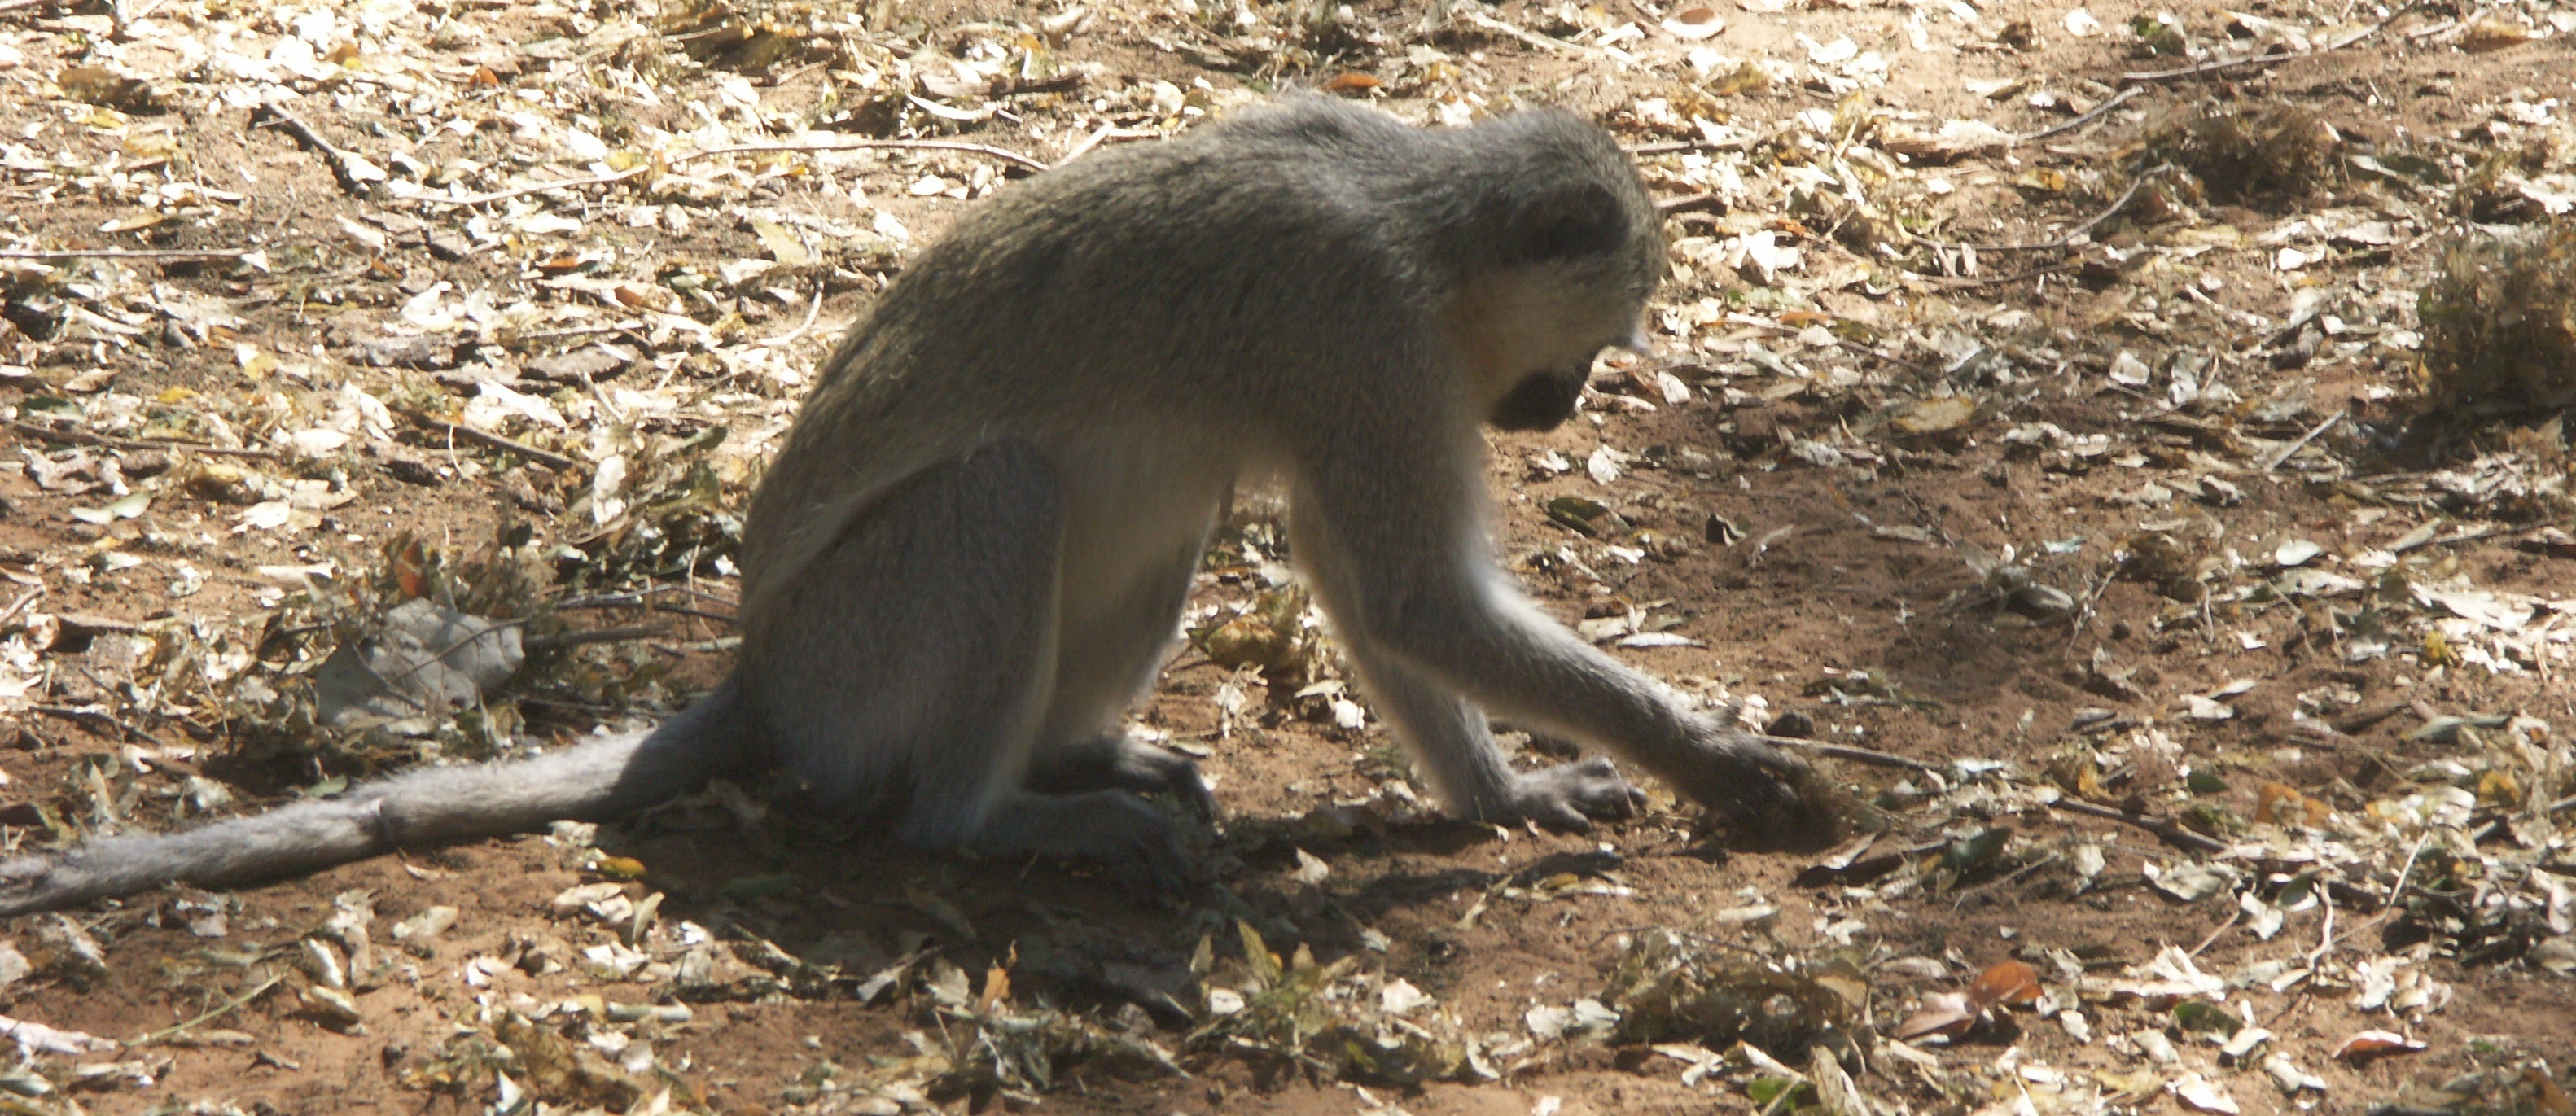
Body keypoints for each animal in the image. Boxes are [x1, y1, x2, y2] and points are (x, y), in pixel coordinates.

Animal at [0, 95, 1833, 912]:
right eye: (1593, 344)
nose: (1562, 404)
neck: (1419, 211)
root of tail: (758, 674)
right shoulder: (1364, 344)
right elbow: (1406, 596)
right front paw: (1716, 763)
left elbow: (1371, 594)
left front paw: (1506, 790)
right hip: (854, 657)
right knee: (1005, 500)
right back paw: (998, 818)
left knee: (1147, 511)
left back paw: (1075, 753)